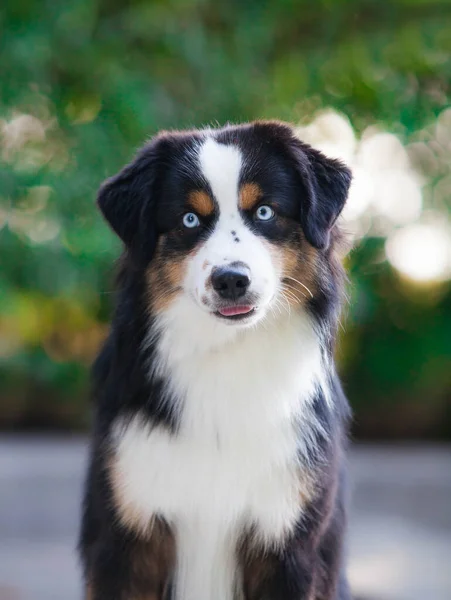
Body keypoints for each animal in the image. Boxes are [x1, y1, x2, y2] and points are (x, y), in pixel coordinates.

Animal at [80, 122, 354, 600]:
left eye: (264, 212)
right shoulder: (126, 542)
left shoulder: (291, 545)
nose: (231, 280)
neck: (228, 356)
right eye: (190, 219)